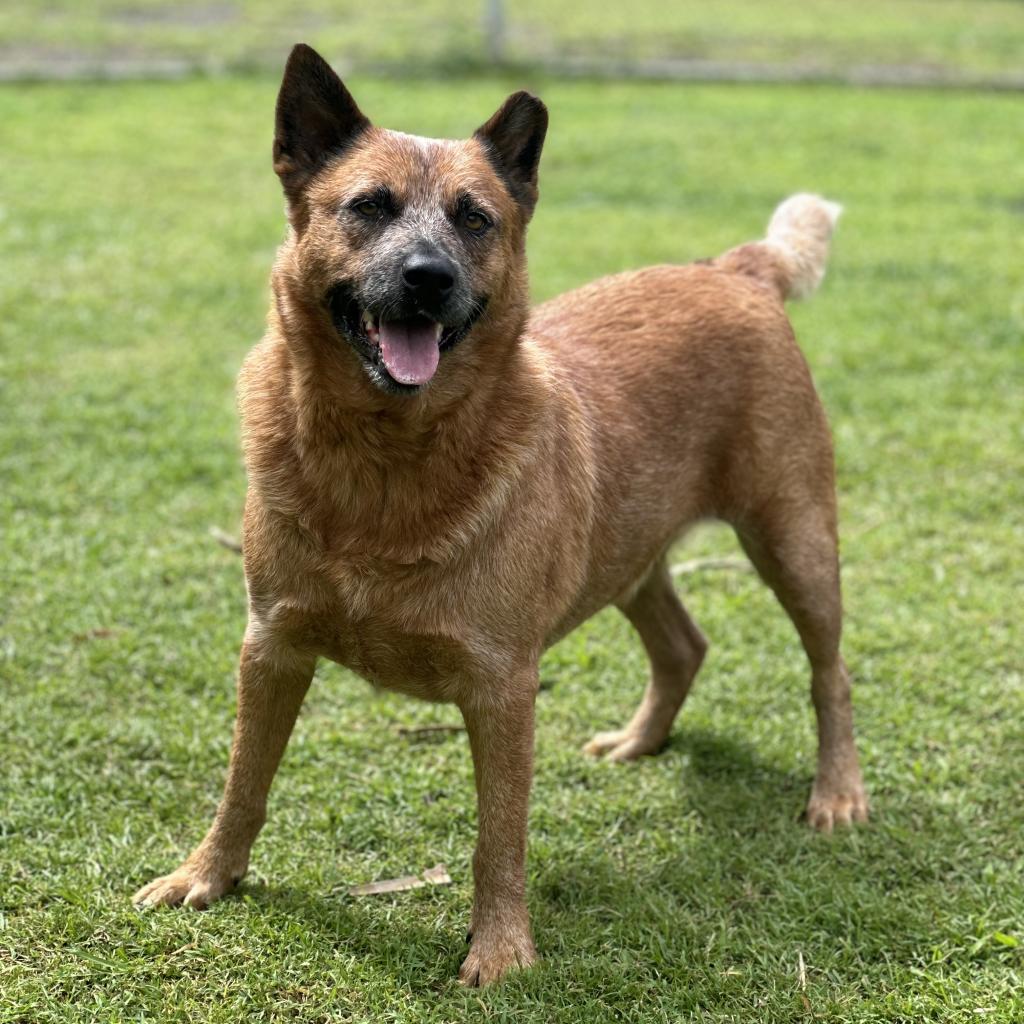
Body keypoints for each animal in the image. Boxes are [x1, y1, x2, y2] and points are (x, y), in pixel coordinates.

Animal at [134, 46, 872, 983]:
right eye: (368, 206)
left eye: (475, 218)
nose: (429, 277)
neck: (384, 463)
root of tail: (734, 268)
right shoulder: (271, 645)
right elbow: (243, 783)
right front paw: (207, 875)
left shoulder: (501, 684)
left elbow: (499, 834)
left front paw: (500, 950)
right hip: (625, 549)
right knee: (683, 644)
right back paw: (640, 741)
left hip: (793, 538)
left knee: (830, 672)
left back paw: (837, 793)